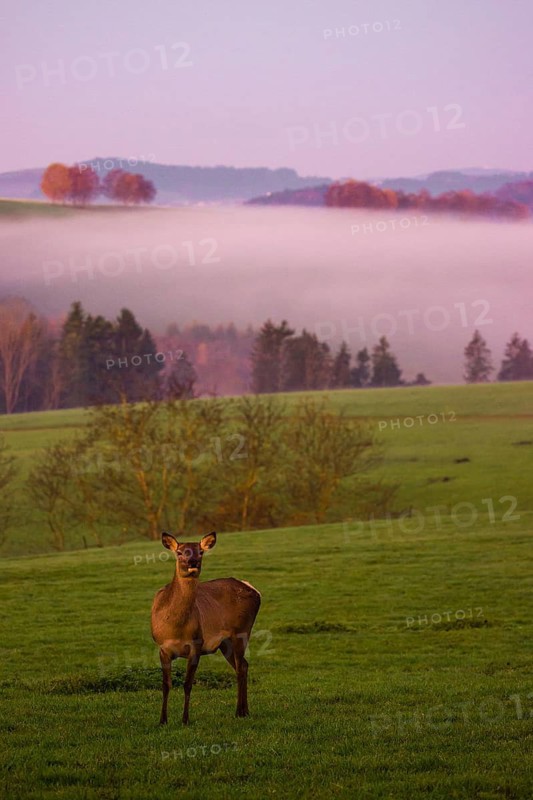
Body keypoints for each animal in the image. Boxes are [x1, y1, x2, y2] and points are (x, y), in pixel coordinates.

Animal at [151, 531, 261, 725]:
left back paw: (239, 711)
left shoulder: (196, 644)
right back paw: (245, 711)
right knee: (244, 665)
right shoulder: (162, 647)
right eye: (179, 552)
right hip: (225, 643)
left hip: (242, 631)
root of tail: (253, 589)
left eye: (200, 552)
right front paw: (162, 720)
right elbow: (166, 684)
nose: (193, 562)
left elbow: (187, 684)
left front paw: (185, 719)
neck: (175, 628)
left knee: (240, 668)